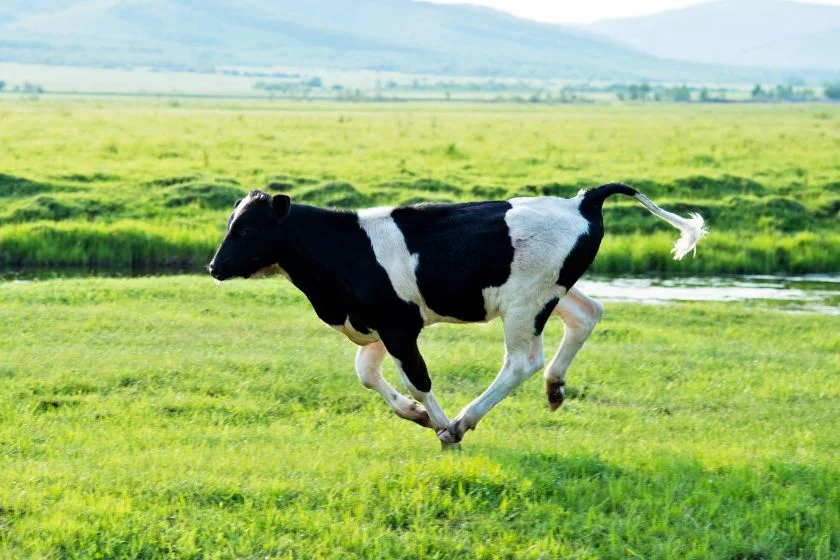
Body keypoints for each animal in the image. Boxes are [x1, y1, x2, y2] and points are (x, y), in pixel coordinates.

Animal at [207, 184, 704, 446]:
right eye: (231, 223)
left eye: (247, 229)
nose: (214, 266)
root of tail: (581, 201)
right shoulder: (377, 326)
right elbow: (366, 373)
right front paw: (416, 415)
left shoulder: (398, 325)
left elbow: (418, 379)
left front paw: (441, 425)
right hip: (553, 291)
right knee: (586, 313)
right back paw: (555, 388)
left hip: (526, 302)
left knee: (522, 361)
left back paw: (465, 420)